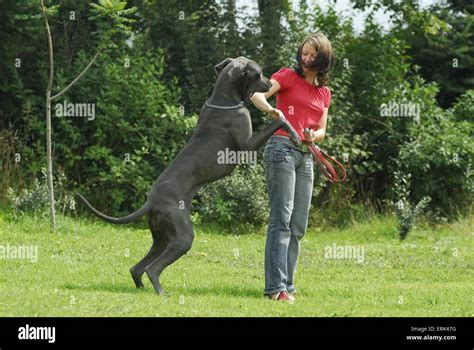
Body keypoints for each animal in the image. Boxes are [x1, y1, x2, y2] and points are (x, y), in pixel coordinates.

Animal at [77, 57, 300, 296]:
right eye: (258, 73)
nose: (270, 84)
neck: (224, 101)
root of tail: (151, 201)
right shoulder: (247, 146)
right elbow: (279, 121)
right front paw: (296, 135)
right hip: (182, 236)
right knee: (152, 269)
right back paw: (162, 293)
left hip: (161, 237)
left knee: (137, 268)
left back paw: (142, 290)